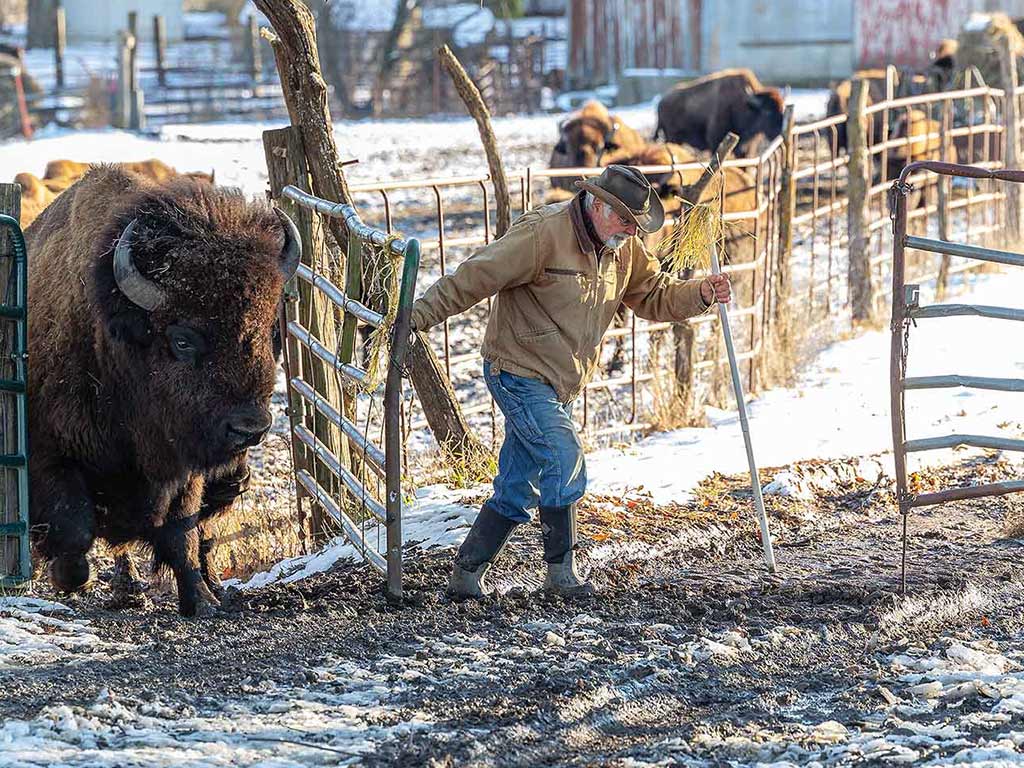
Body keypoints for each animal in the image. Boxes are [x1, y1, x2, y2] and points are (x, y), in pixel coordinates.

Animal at [25, 167, 299, 618]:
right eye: (183, 339)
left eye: (267, 332)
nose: (250, 429)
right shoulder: (49, 455)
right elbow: (75, 527)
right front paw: (68, 577)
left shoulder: (184, 470)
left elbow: (179, 534)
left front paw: (202, 601)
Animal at [651, 69, 786, 159]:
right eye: (767, 112)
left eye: (782, 109)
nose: (779, 132)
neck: (745, 105)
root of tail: (661, 102)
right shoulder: (716, 142)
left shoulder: (746, 148)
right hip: (673, 138)